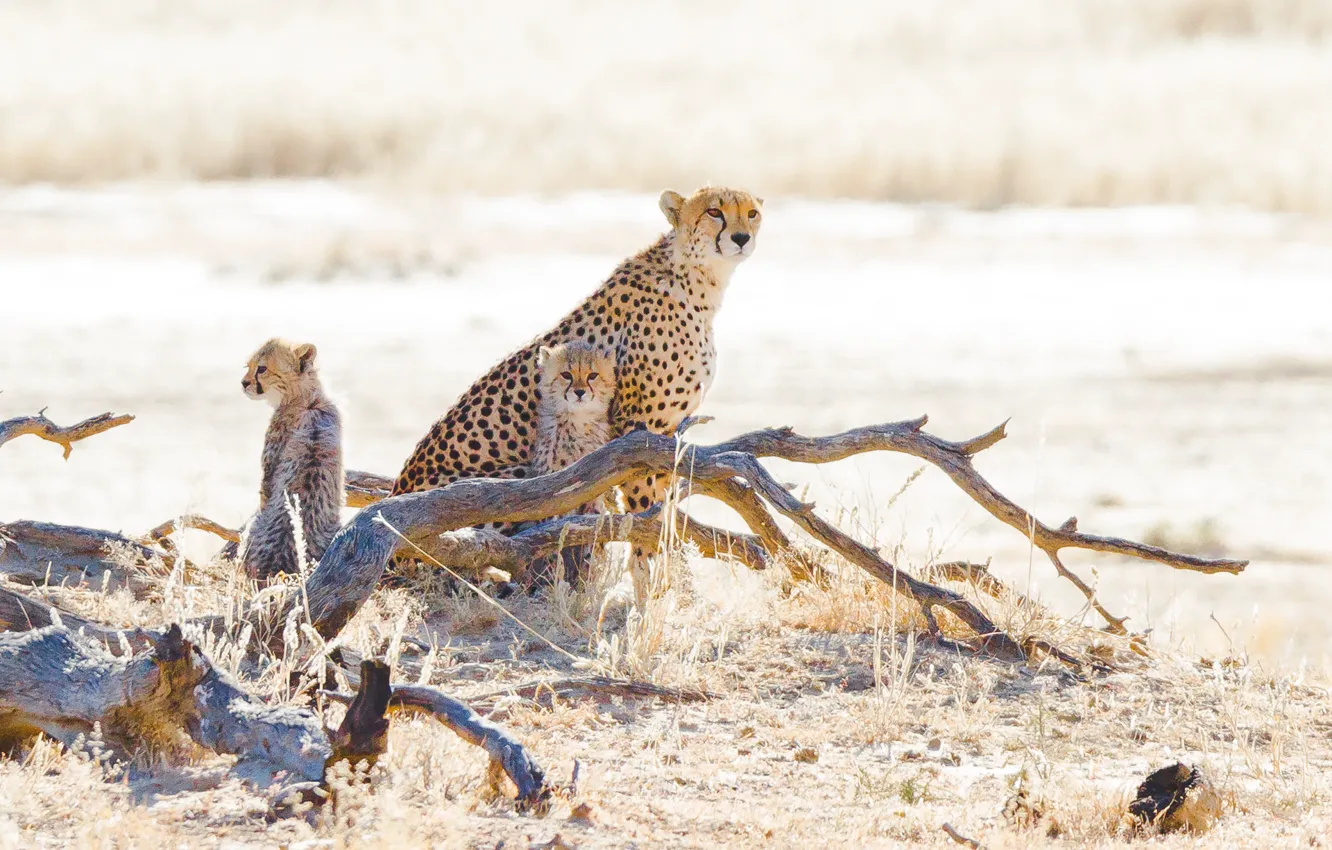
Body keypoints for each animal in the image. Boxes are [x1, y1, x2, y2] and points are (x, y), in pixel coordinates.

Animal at [388, 187, 767, 530]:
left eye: (752, 213)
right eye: (714, 212)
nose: (741, 237)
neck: (698, 282)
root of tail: (396, 490)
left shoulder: (666, 436)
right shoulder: (636, 435)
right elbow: (648, 524)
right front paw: (654, 564)